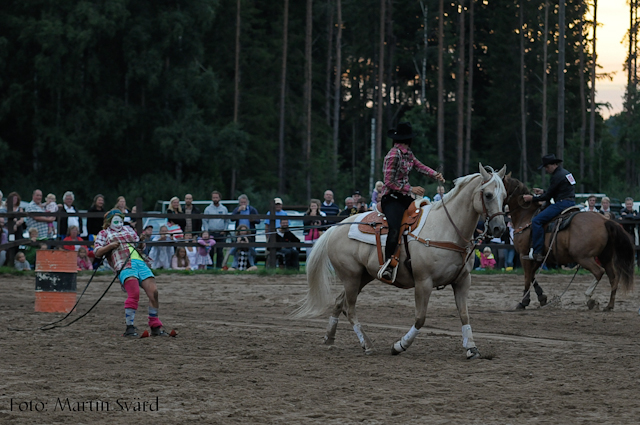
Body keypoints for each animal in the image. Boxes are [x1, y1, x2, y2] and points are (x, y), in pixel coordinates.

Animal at [292, 163, 508, 358]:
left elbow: (464, 314)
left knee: (339, 303)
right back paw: (368, 345)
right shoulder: (423, 282)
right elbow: (420, 318)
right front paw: (399, 346)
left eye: (505, 196)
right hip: (351, 277)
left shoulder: (462, 281)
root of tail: (335, 227)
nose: (499, 228)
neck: (446, 228)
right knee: (349, 308)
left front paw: (471, 348)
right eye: (488, 195)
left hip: (362, 276)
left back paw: (329, 338)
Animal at [504, 174, 636, 310]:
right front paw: (542, 298)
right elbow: (532, 275)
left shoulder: (524, 255)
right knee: (613, 277)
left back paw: (589, 299)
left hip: (583, 257)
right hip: (605, 256)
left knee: (599, 272)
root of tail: (604, 220)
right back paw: (609, 305)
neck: (526, 216)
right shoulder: (537, 258)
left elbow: (527, 276)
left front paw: (523, 302)